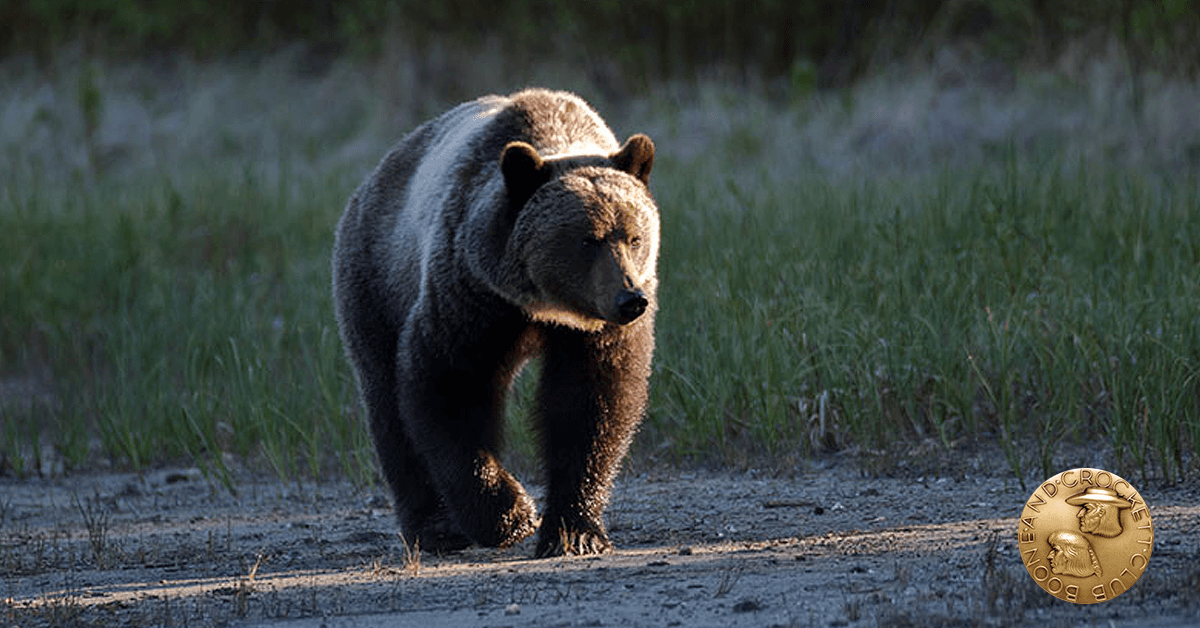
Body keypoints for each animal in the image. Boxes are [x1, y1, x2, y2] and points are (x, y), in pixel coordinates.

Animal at [332, 89, 659, 558]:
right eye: (586, 239)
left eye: (634, 236)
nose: (630, 300)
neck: (544, 306)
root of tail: (371, 180)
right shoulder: (471, 296)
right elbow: (451, 385)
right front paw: (511, 515)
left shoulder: (595, 332)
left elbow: (591, 402)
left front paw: (575, 532)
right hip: (375, 280)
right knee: (386, 404)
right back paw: (435, 528)